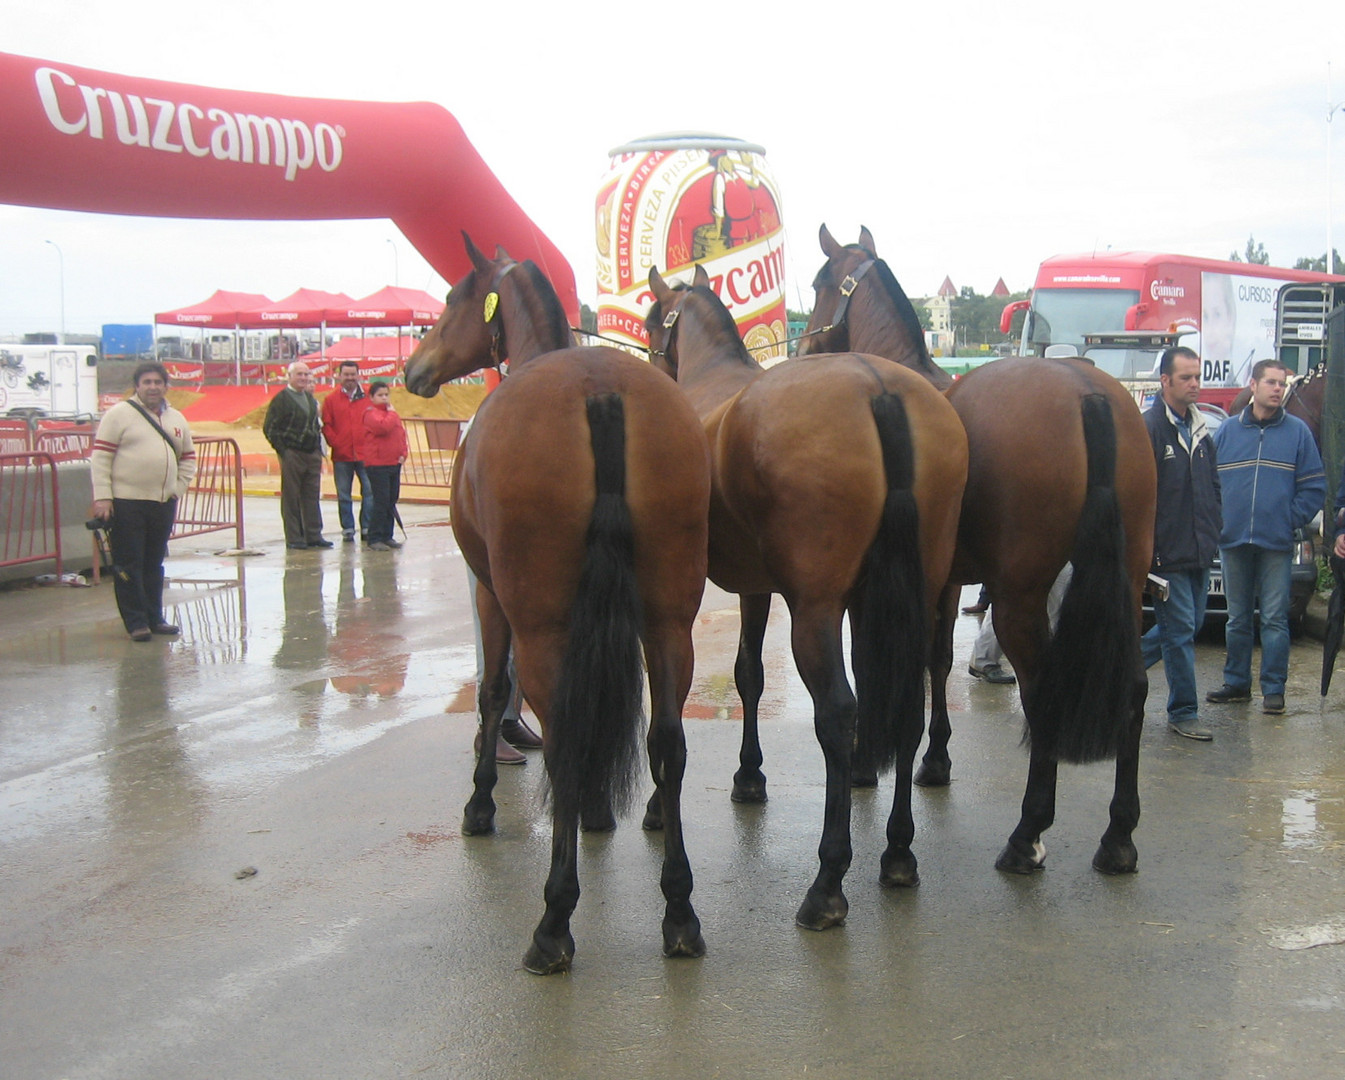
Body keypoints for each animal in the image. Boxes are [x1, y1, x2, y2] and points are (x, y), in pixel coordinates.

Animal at [403, 234, 715, 973]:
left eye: (453, 297)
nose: (414, 367)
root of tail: (598, 390)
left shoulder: (491, 594)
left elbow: (493, 691)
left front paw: (480, 806)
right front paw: (601, 810)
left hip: (540, 621)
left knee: (566, 732)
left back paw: (553, 921)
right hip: (668, 621)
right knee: (667, 740)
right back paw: (679, 911)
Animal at [642, 266, 968, 925]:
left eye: (649, 323)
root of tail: (878, 389)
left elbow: (720, 685)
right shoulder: (758, 586)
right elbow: (749, 675)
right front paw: (749, 776)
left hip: (816, 612)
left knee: (838, 713)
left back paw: (827, 882)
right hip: (914, 595)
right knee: (909, 702)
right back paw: (898, 852)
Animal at [796, 228, 1156, 876]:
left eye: (817, 283)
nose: (808, 346)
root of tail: (1088, 394)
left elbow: (891, 664)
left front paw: (869, 763)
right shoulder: (943, 581)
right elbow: (937, 660)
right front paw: (935, 759)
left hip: (1019, 596)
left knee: (1041, 692)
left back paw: (1027, 833)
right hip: (1127, 578)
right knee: (1135, 689)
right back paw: (1118, 834)